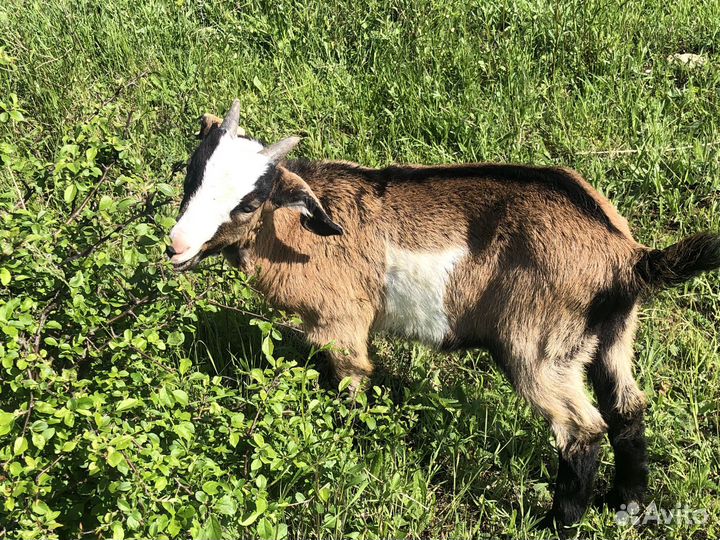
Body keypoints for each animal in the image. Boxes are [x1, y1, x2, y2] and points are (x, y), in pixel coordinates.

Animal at [167, 100, 720, 534]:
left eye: (248, 202)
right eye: (192, 175)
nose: (177, 246)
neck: (296, 231)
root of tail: (625, 255)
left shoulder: (339, 322)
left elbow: (352, 381)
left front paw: (344, 448)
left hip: (537, 345)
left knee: (581, 429)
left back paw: (556, 523)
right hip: (611, 335)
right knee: (627, 408)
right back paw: (626, 505)